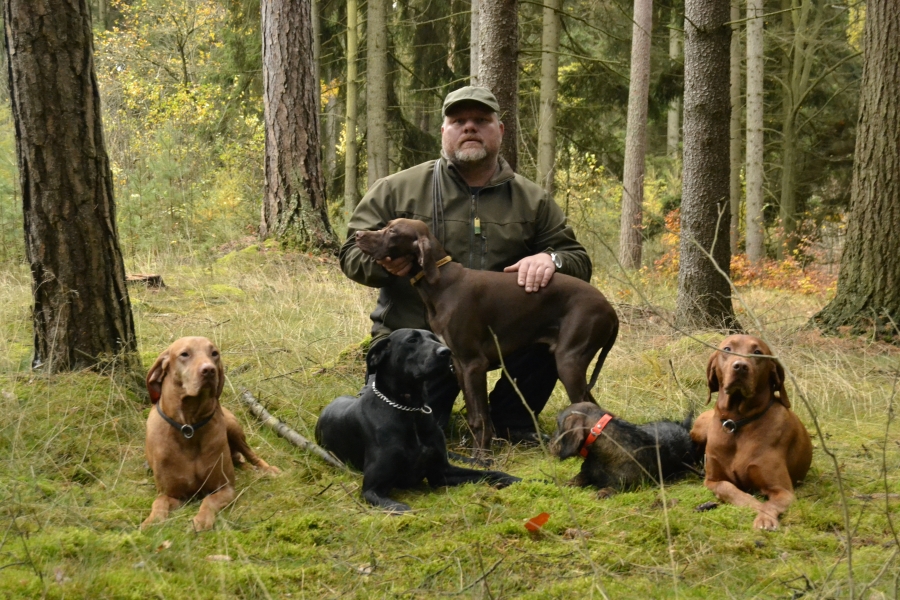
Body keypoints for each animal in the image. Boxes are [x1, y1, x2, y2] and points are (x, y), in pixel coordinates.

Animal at [142, 336, 280, 531]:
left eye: (214, 353)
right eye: (184, 354)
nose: (209, 370)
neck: (189, 426)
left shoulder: (225, 488)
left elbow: (209, 500)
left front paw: (201, 520)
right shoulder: (174, 494)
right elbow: (159, 502)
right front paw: (152, 521)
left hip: (233, 426)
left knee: (249, 455)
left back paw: (266, 470)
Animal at [315, 328, 520, 512]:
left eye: (434, 338)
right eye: (411, 340)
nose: (446, 352)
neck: (410, 410)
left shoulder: (442, 472)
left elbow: (489, 474)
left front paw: (516, 479)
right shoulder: (372, 488)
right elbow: (399, 508)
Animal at [551, 402, 697, 493]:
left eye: (558, 424)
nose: (549, 442)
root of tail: (682, 426)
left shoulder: (628, 484)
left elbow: (612, 488)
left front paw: (603, 492)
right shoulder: (585, 474)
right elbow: (574, 480)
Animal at [690, 335, 812, 530]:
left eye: (757, 352)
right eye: (727, 349)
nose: (740, 366)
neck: (737, 422)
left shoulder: (783, 490)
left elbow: (769, 504)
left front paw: (764, 518)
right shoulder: (712, 480)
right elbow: (729, 488)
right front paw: (753, 504)